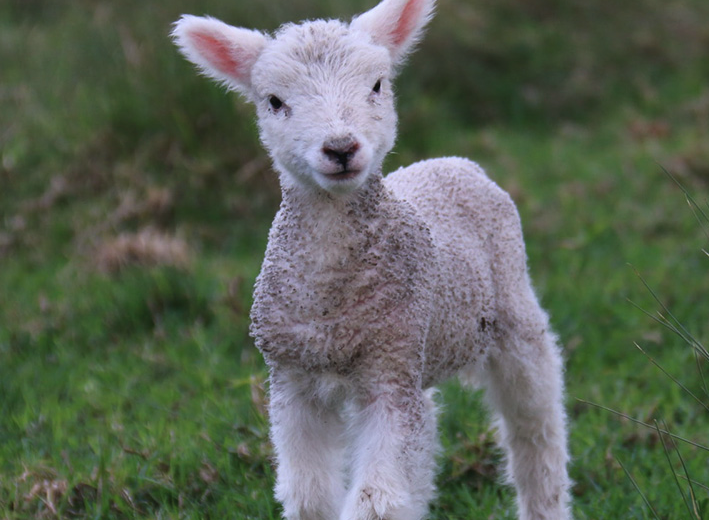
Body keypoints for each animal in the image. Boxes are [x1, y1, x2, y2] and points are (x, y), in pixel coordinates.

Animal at [171, 1, 568, 520]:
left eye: (377, 85)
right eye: (274, 101)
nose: (340, 148)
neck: (331, 306)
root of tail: (454, 161)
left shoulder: (387, 373)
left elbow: (377, 500)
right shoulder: (293, 380)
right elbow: (308, 493)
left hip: (510, 309)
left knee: (535, 422)